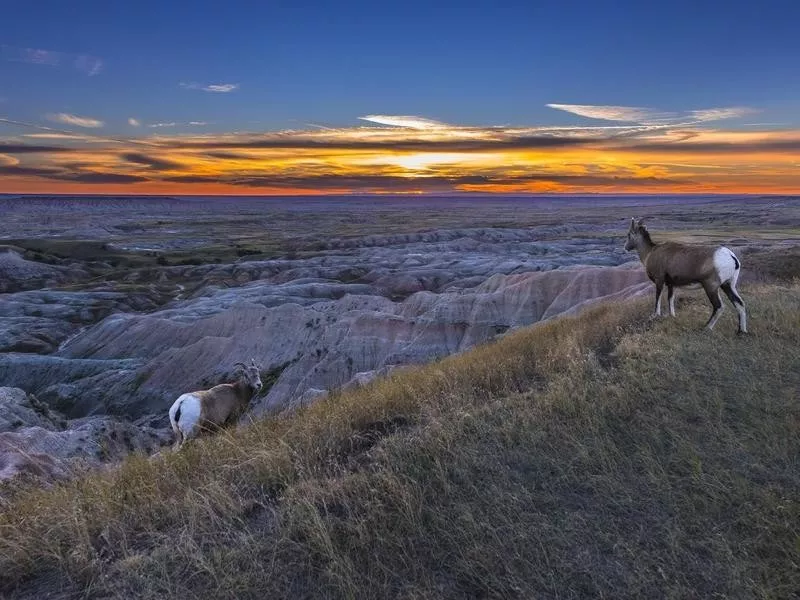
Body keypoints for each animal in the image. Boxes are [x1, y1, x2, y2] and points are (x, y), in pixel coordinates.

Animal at [624, 219, 752, 336]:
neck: (650, 253)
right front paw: (672, 316)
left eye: (629, 234)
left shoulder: (659, 281)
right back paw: (741, 331)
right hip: (728, 285)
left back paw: (706, 327)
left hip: (711, 287)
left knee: (719, 306)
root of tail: (731, 257)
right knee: (740, 303)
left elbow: (657, 299)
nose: (625, 248)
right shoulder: (671, 285)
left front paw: (655, 315)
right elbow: (670, 300)